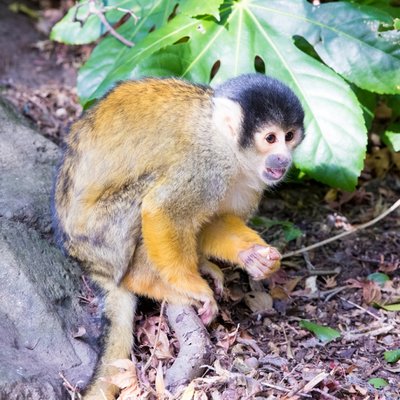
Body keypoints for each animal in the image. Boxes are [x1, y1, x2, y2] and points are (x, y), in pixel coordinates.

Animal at [52, 73, 304, 398]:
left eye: (290, 136)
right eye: (270, 138)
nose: (283, 159)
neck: (229, 148)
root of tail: (81, 256)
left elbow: (213, 219)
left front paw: (254, 257)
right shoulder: (207, 164)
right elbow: (163, 210)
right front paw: (194, 288)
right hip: (102, 236)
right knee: (150, 192)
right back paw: (148, 281)